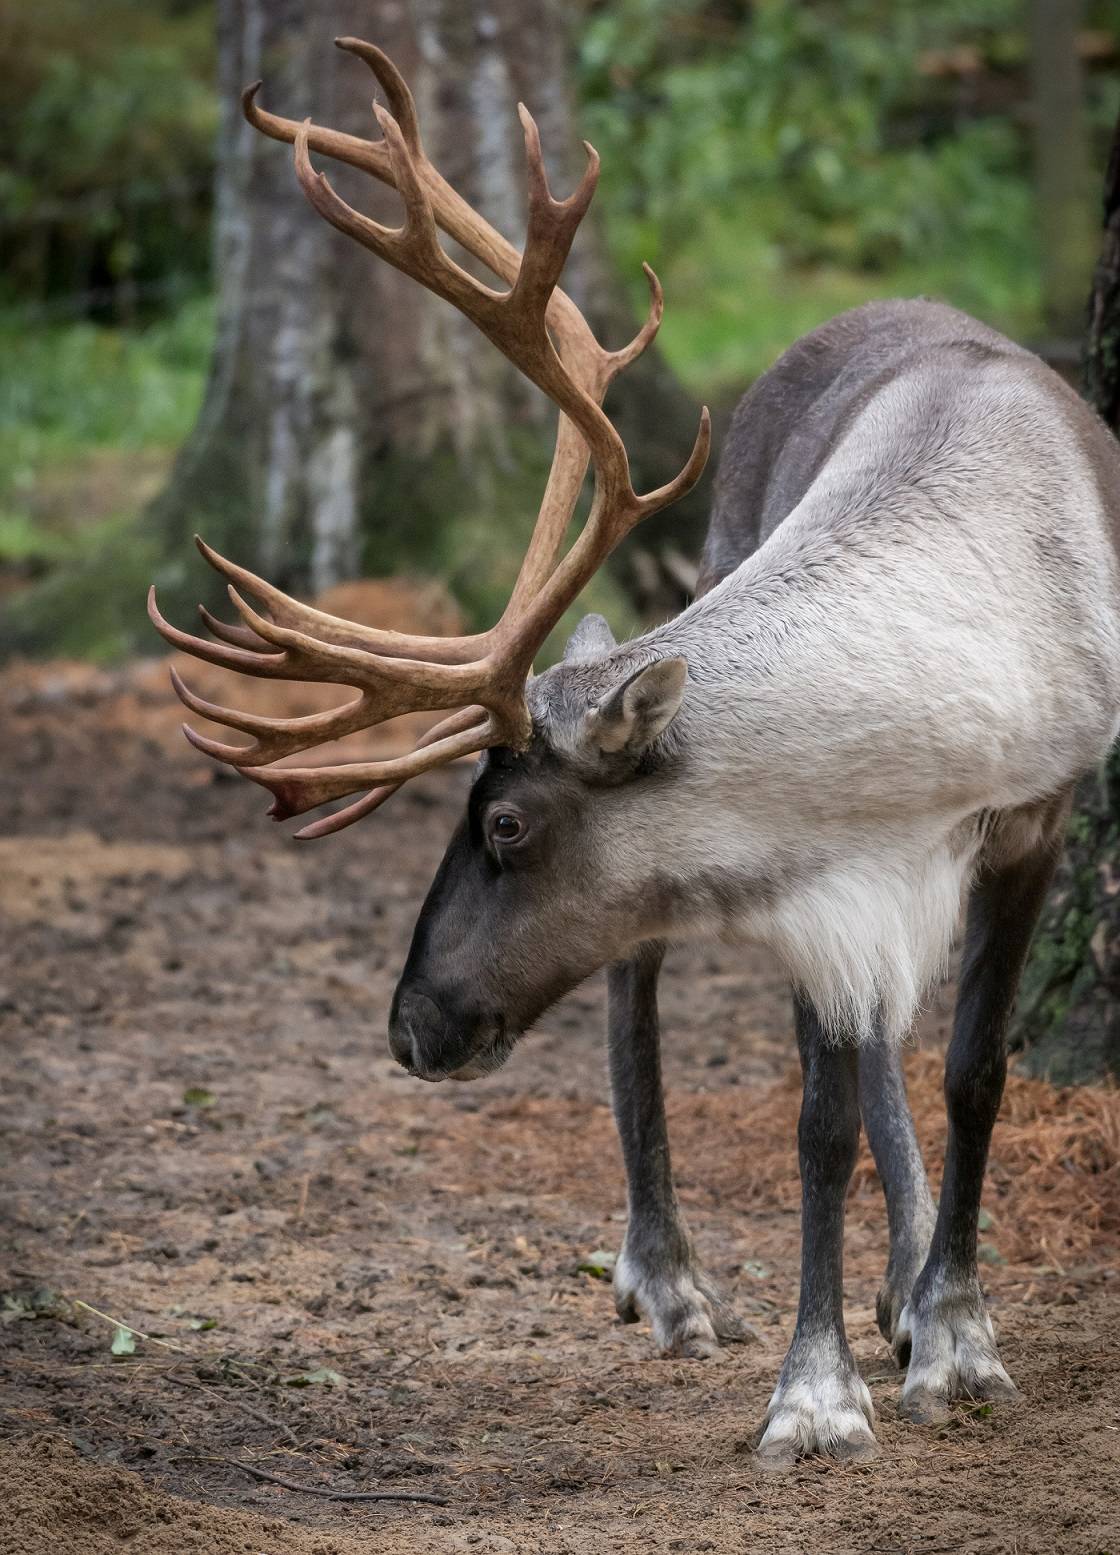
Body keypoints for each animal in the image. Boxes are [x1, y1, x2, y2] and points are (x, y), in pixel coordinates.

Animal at [148, 37, 1120, 1468]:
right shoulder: (813, 872)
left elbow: (972, 1072)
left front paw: (953, 1334)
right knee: (646, 983)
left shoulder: (1025, 818)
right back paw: (669, 1277)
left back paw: (898, 1289)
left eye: (504, 824)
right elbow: (818, 1119)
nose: (409, 1025)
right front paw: (815, 1390)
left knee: (887, 1043)